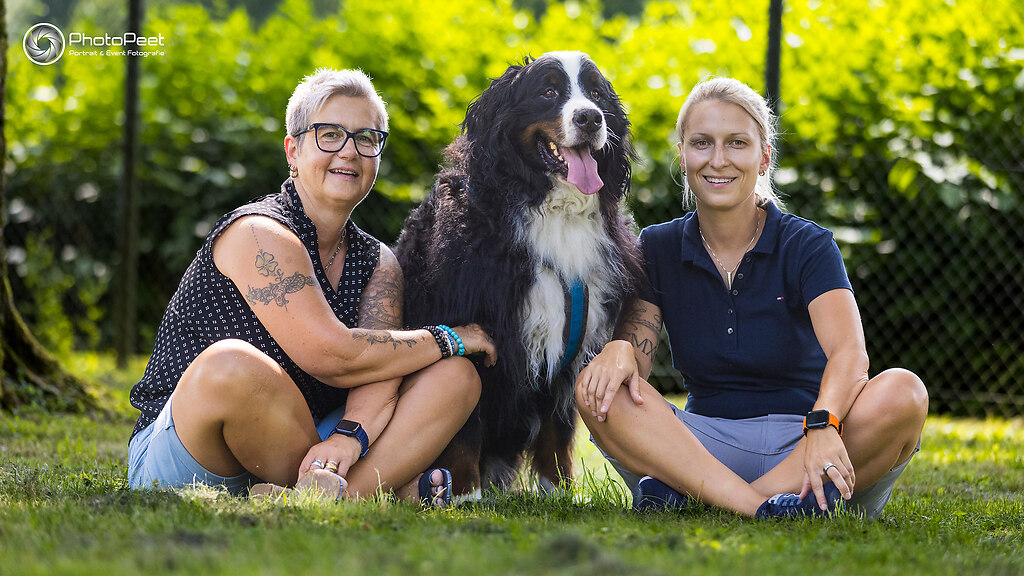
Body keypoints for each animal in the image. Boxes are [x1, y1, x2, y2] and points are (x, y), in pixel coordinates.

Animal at [395, 51, 643, 496]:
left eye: (597, 94)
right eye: (548, 92)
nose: (591, 118)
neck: (552, 208)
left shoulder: (574, 336)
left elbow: (557, 430)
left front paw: (558, 491)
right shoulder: (473, 327)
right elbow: (466, 427)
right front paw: (465, 494)